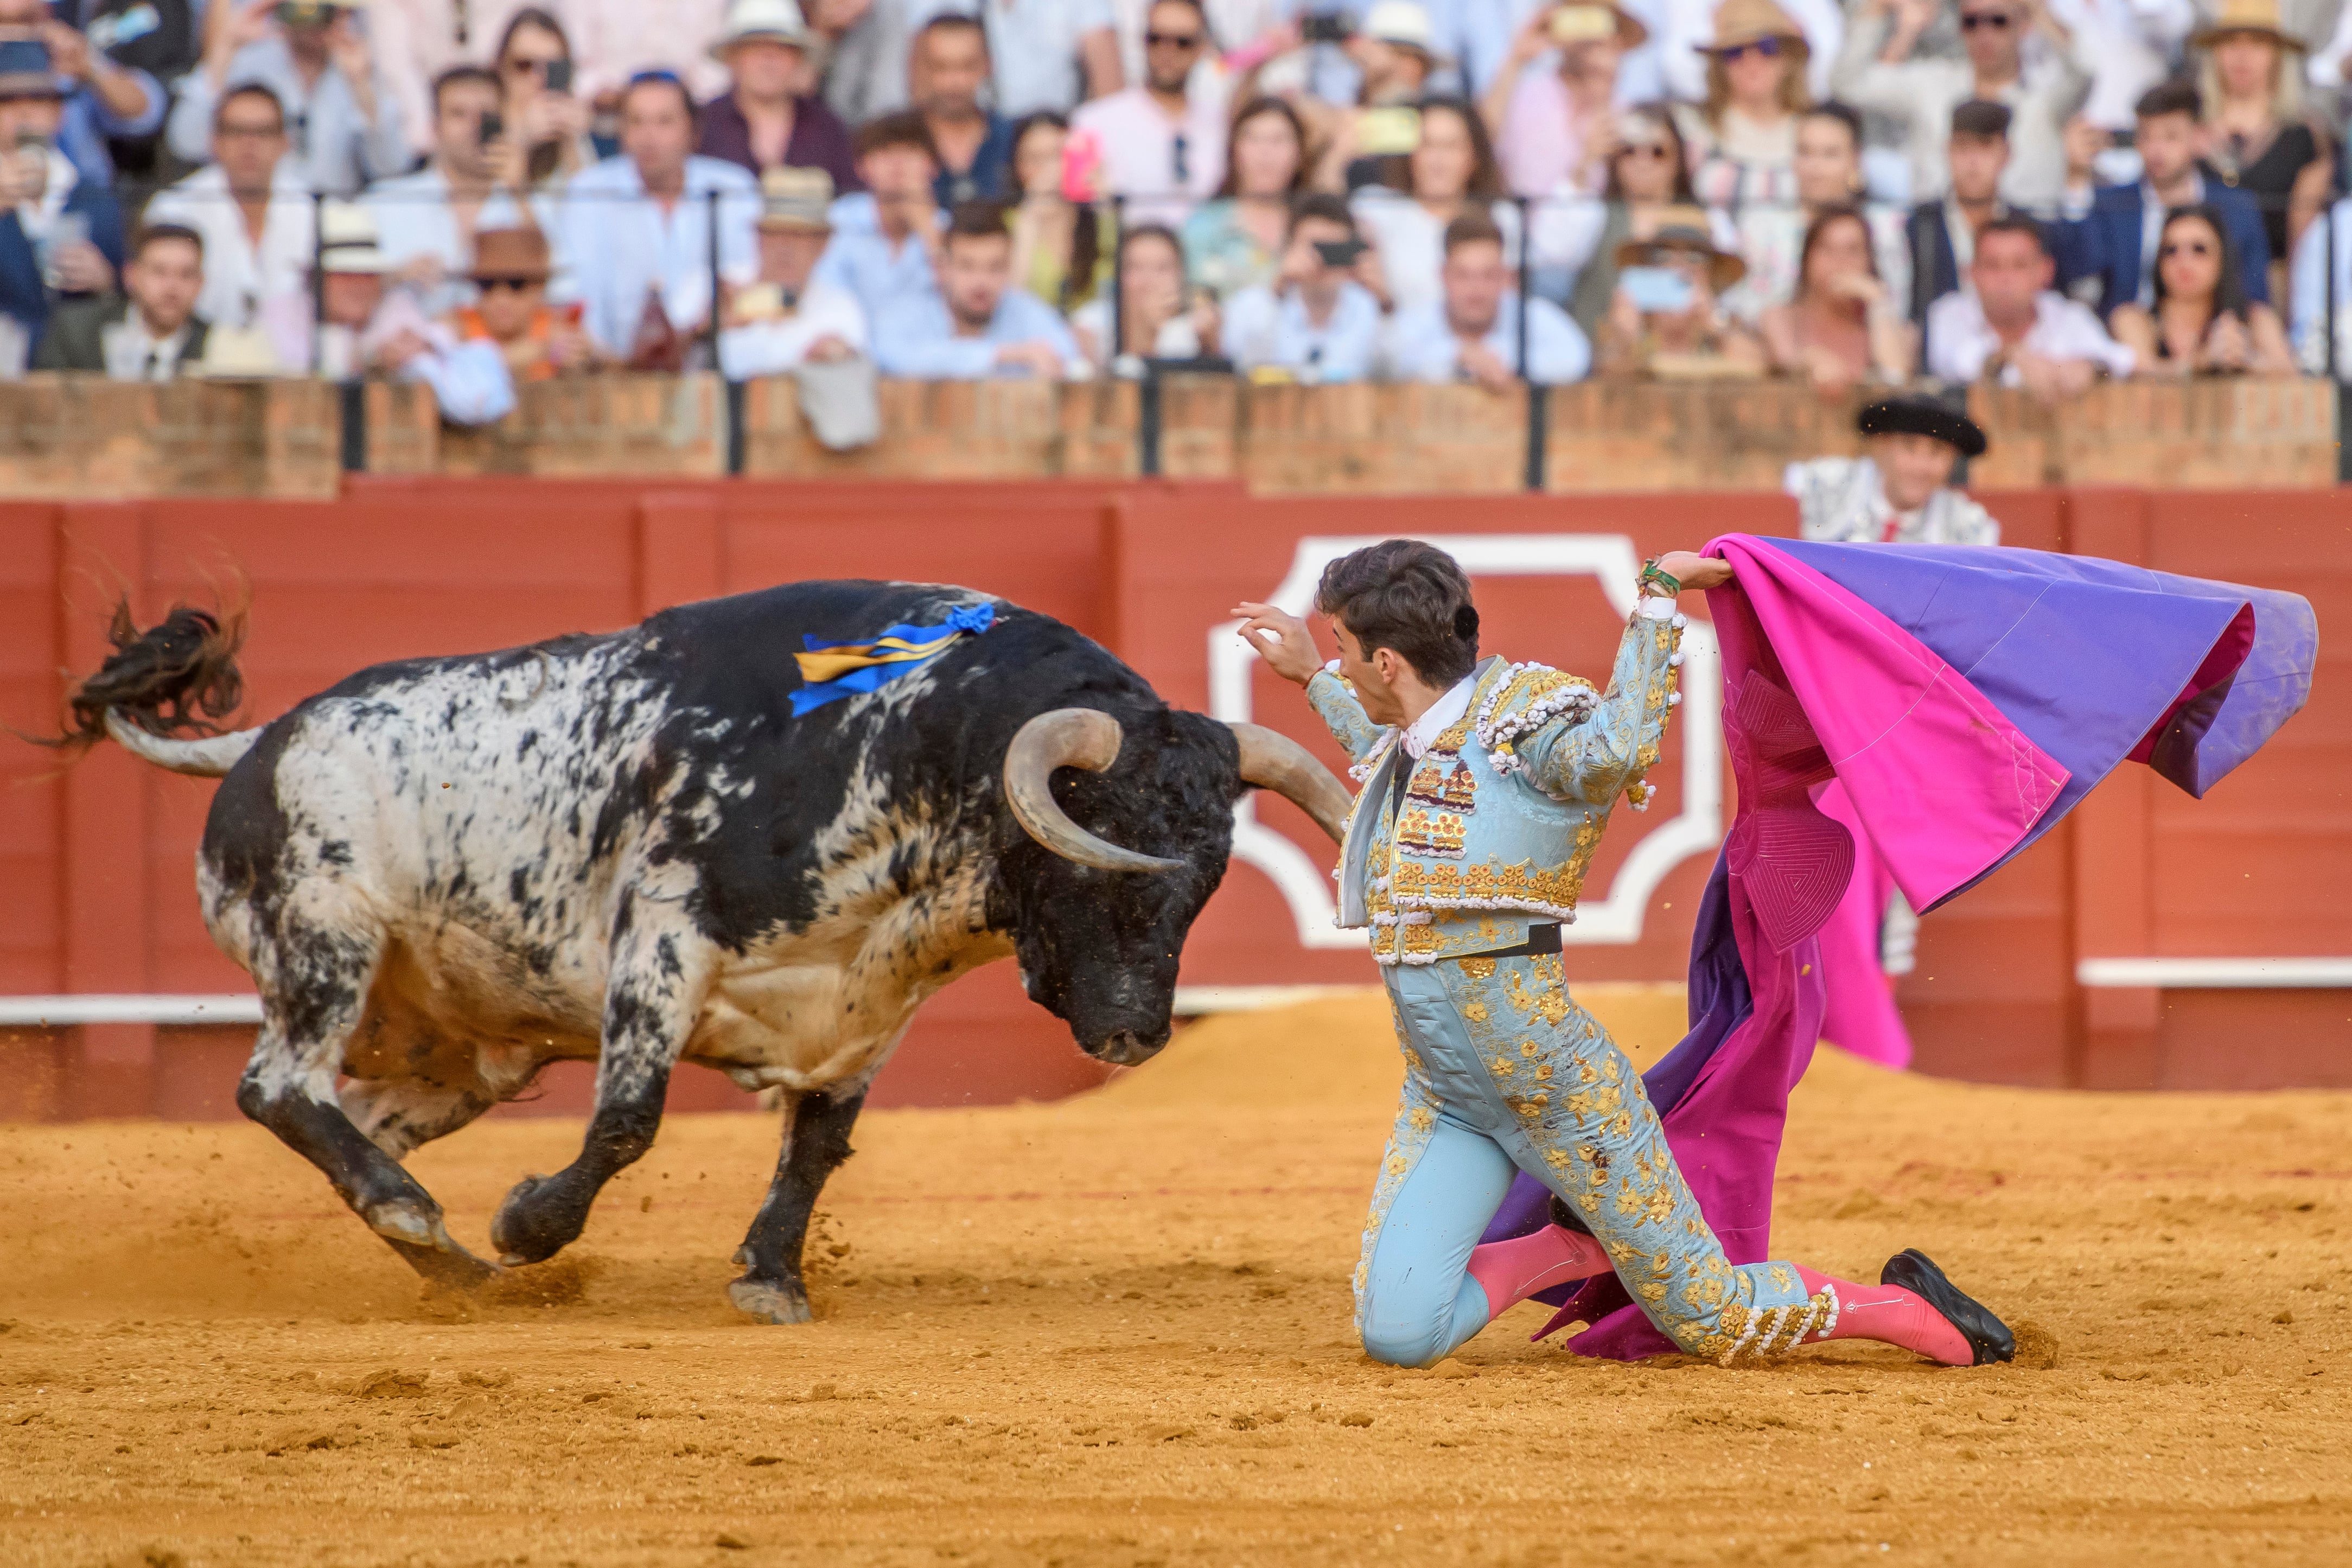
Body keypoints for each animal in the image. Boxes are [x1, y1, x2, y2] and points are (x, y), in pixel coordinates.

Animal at [64, 583, 1345, 1316]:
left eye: (1208, 876)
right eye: (1095, 850)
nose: (1132, 1033)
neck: (904, 746)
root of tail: (261, 742)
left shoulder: (867, 1008)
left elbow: (818, 1145)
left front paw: (768, 1277)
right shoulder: (663, 943)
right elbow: (628, 1121)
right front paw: (528, 1221)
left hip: (460, 1052)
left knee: (359, 1121)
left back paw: (440, 1258)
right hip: (323, 940)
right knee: (276, 1085)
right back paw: (444, 1231)